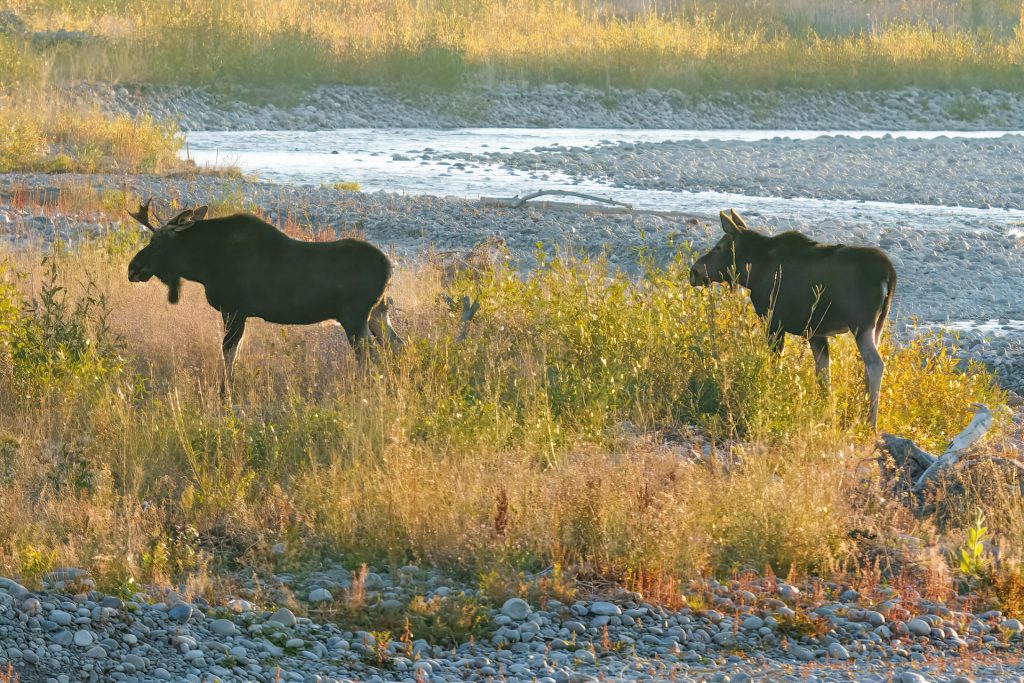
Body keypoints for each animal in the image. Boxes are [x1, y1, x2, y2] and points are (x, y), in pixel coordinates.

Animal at [123, 200, 399, 395]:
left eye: (157, 241)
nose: (132, 268)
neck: (202, 266)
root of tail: (389, 268)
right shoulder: (239, 313)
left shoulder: (234, 309)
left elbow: (229, 353)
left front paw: (225, 393)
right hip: (377, 313)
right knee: (396, 347)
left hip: (355, 317)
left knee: (372, 357)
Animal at [688, 210, 897, 430]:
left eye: (719, 247)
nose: (694, 271)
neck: (751, 272)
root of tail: (890, 274)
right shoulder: (816, 333)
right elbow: (823, 374)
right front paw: (824, 412)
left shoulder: (775, 323)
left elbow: (777, 366)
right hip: (877, 325)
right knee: (867, 365)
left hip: (861, 324)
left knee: (875, 364)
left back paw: (871, 422)